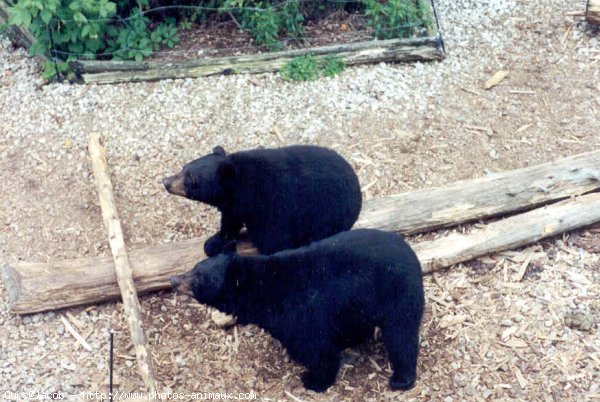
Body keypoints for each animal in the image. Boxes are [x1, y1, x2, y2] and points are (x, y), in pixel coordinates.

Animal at [162, 146, 360, 256]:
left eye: (191, 180)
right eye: (184, 168)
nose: (166, 182)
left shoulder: (275, 206)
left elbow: (275, 242)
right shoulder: (235, 205)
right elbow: (230, 222)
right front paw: (214, 242)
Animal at [172, 229, 426, 392]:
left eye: (198, 278)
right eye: (194, 268)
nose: (174, 280)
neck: (263, 291)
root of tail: (412, 255)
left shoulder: (302, 312)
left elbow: (317, 348)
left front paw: (313, 380)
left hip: (397, 296)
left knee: (401, 336)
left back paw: (400, 380)